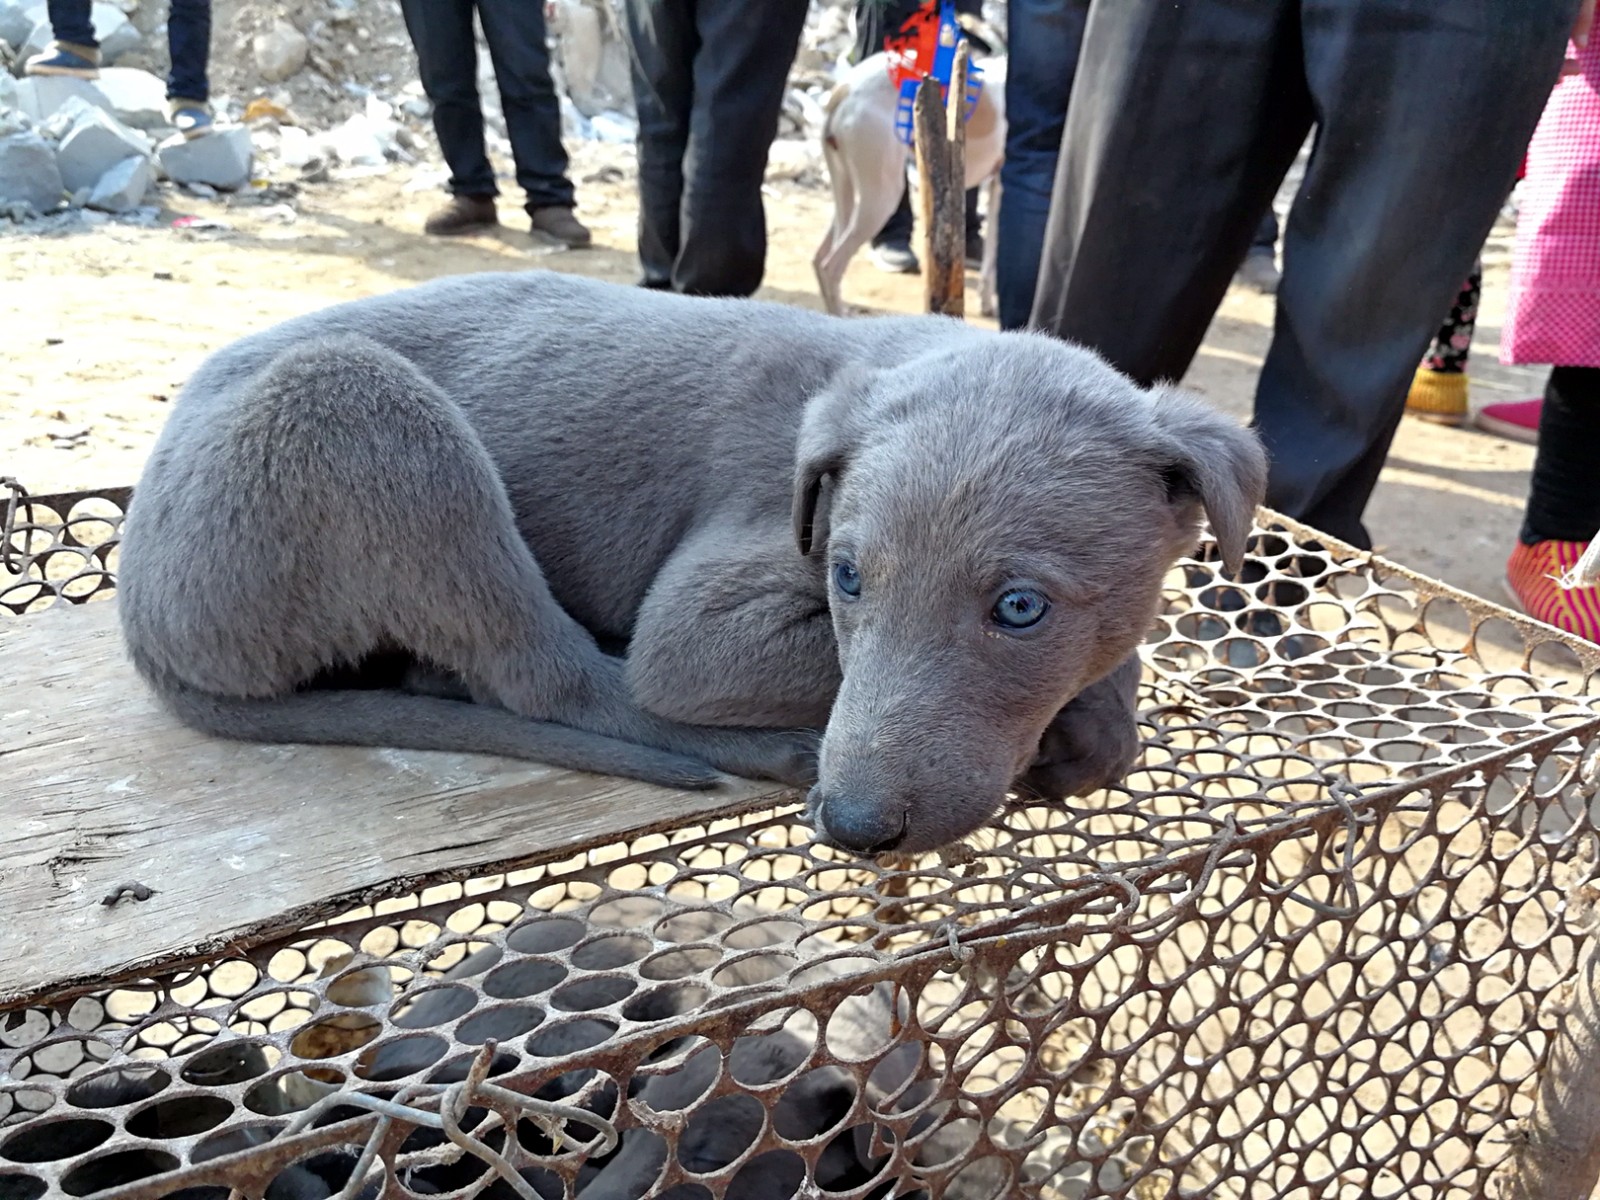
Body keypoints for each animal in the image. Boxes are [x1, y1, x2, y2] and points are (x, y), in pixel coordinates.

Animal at [116, 272, 1260, 857]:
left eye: (1021, 608)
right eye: (848, 579)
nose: (854, 828)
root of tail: (136, 604)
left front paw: (1099, 715)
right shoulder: (707, 612)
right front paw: (1081, 723)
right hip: (360, 412)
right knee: (560, 682)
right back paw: (765, 750)